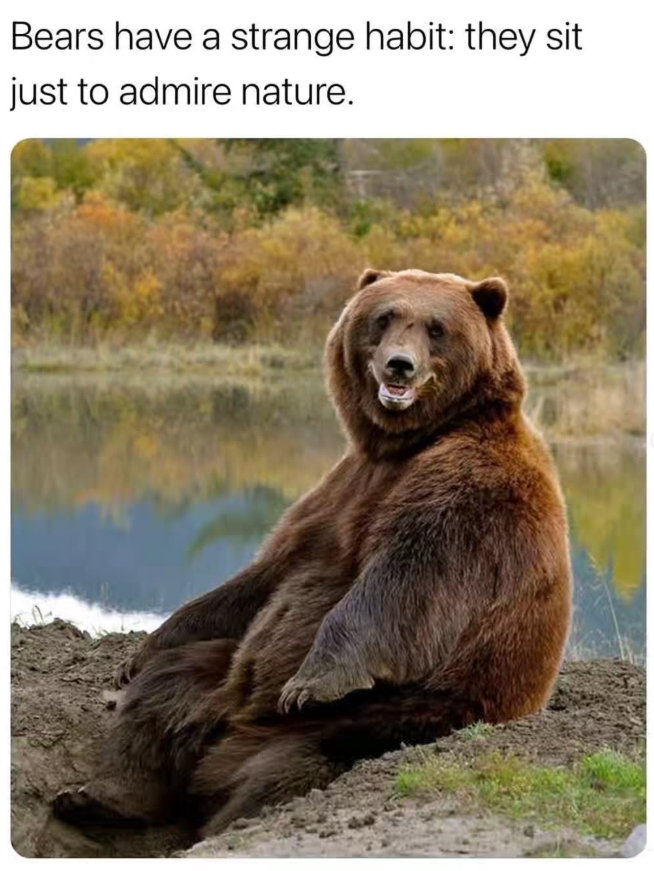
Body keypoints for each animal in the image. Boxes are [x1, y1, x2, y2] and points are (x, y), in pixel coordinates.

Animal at [53, 268, 572, 839]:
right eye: (384, 317)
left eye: (436, 327)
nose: (399, 364)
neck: (403, 445)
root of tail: (232, 730)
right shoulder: (340, 490)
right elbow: (268, 574)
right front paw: (137, 654)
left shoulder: (468, 492)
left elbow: (408, 579)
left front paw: (313, 680)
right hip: (220, 674)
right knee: (164, 692)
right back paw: (95, 799)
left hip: (394, 714)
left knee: (288, 769)